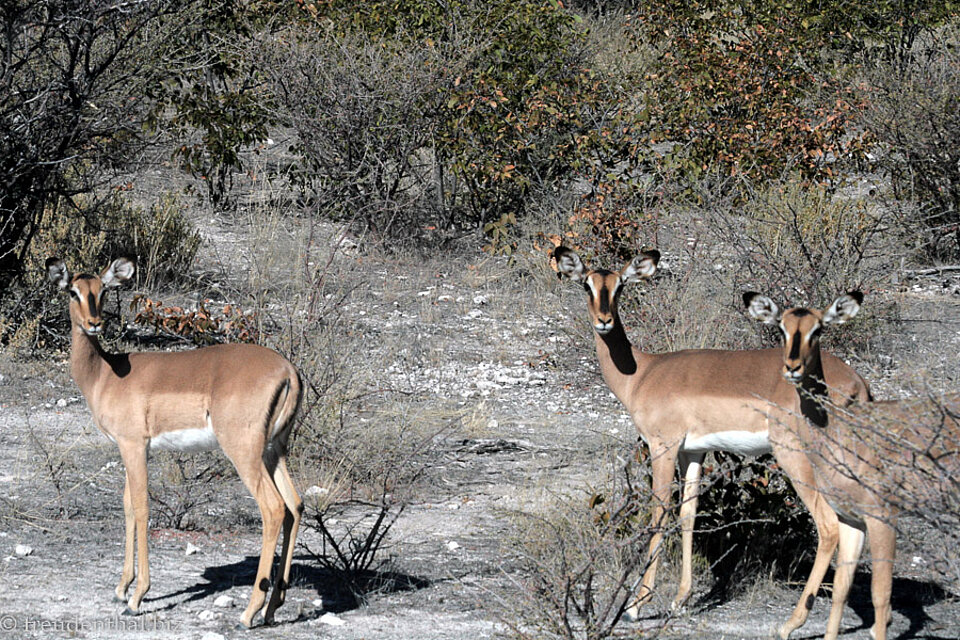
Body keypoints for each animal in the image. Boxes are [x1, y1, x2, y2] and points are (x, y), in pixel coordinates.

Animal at [46, 256, 303, 628]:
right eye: (73, 291)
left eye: (102, 291)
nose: (94, 324)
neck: (105, 375)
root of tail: (289, 371)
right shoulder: (130, 449)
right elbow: (127, 505)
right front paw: (121, 589)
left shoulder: (133, 445)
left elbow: (141, 507)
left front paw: (137, 597)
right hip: (274, 452)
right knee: (295, 506)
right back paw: (272, 609)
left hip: (244, 452)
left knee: (273, 508)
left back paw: (248, 612)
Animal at [554, 247, 871, 634]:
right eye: (587, 284)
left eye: (620, 286)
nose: (604, 320)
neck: (643, 373)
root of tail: (858, 384)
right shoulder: (693, 453)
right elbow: (688, 514)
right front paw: (680, 600)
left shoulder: (662, 447)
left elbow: (660, 511)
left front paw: (637, 605)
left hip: (801, 460)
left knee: (829, 526)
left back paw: (790, 623)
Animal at [745, 291, 960, 640]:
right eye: (781, 327)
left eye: (818, 329)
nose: (792, 367)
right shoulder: (851, 521)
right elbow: (842, 591)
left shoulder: (883, 518)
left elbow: (880, 598)